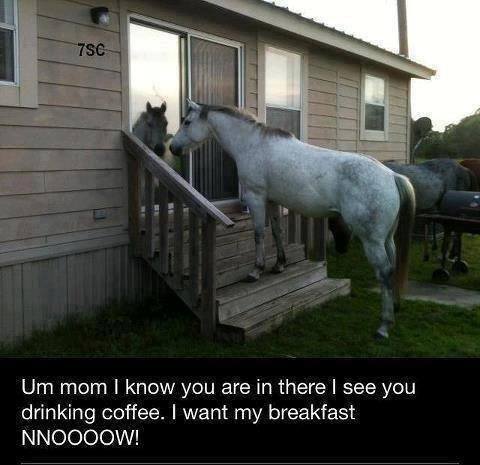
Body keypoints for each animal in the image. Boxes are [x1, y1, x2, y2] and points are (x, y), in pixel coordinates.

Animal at [170, 100, 416, 339]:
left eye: (187, 122)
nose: (173, 148)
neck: (253, 145)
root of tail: (392, 176)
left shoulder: (256, 197)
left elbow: (259, 233)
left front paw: (256, 271)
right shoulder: (272, 201)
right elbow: (277, 232)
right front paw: (279, 264)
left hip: (372, 241)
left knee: (384, 272)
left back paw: (383, 326)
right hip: (387, 239)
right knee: (393, 266)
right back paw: (395, 308)